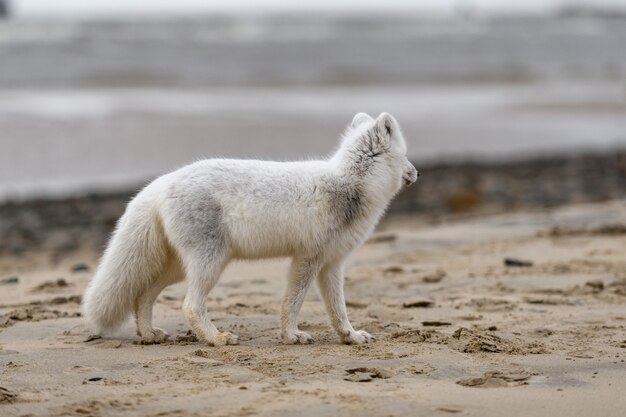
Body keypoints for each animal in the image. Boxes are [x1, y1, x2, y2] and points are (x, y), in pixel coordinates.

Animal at [80, 112, 416, 346]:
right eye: (405, 156)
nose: (417, 172)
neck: (349, 185)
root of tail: (162, 182)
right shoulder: (308, 259)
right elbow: (293, 303)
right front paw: (291, 336)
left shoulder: (331, 264)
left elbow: (339, 309)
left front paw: (350, 336)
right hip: (210, 264)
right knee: (189, 306)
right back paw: (216, 339)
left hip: (178, 268)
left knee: (143, 296)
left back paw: (149, 334)